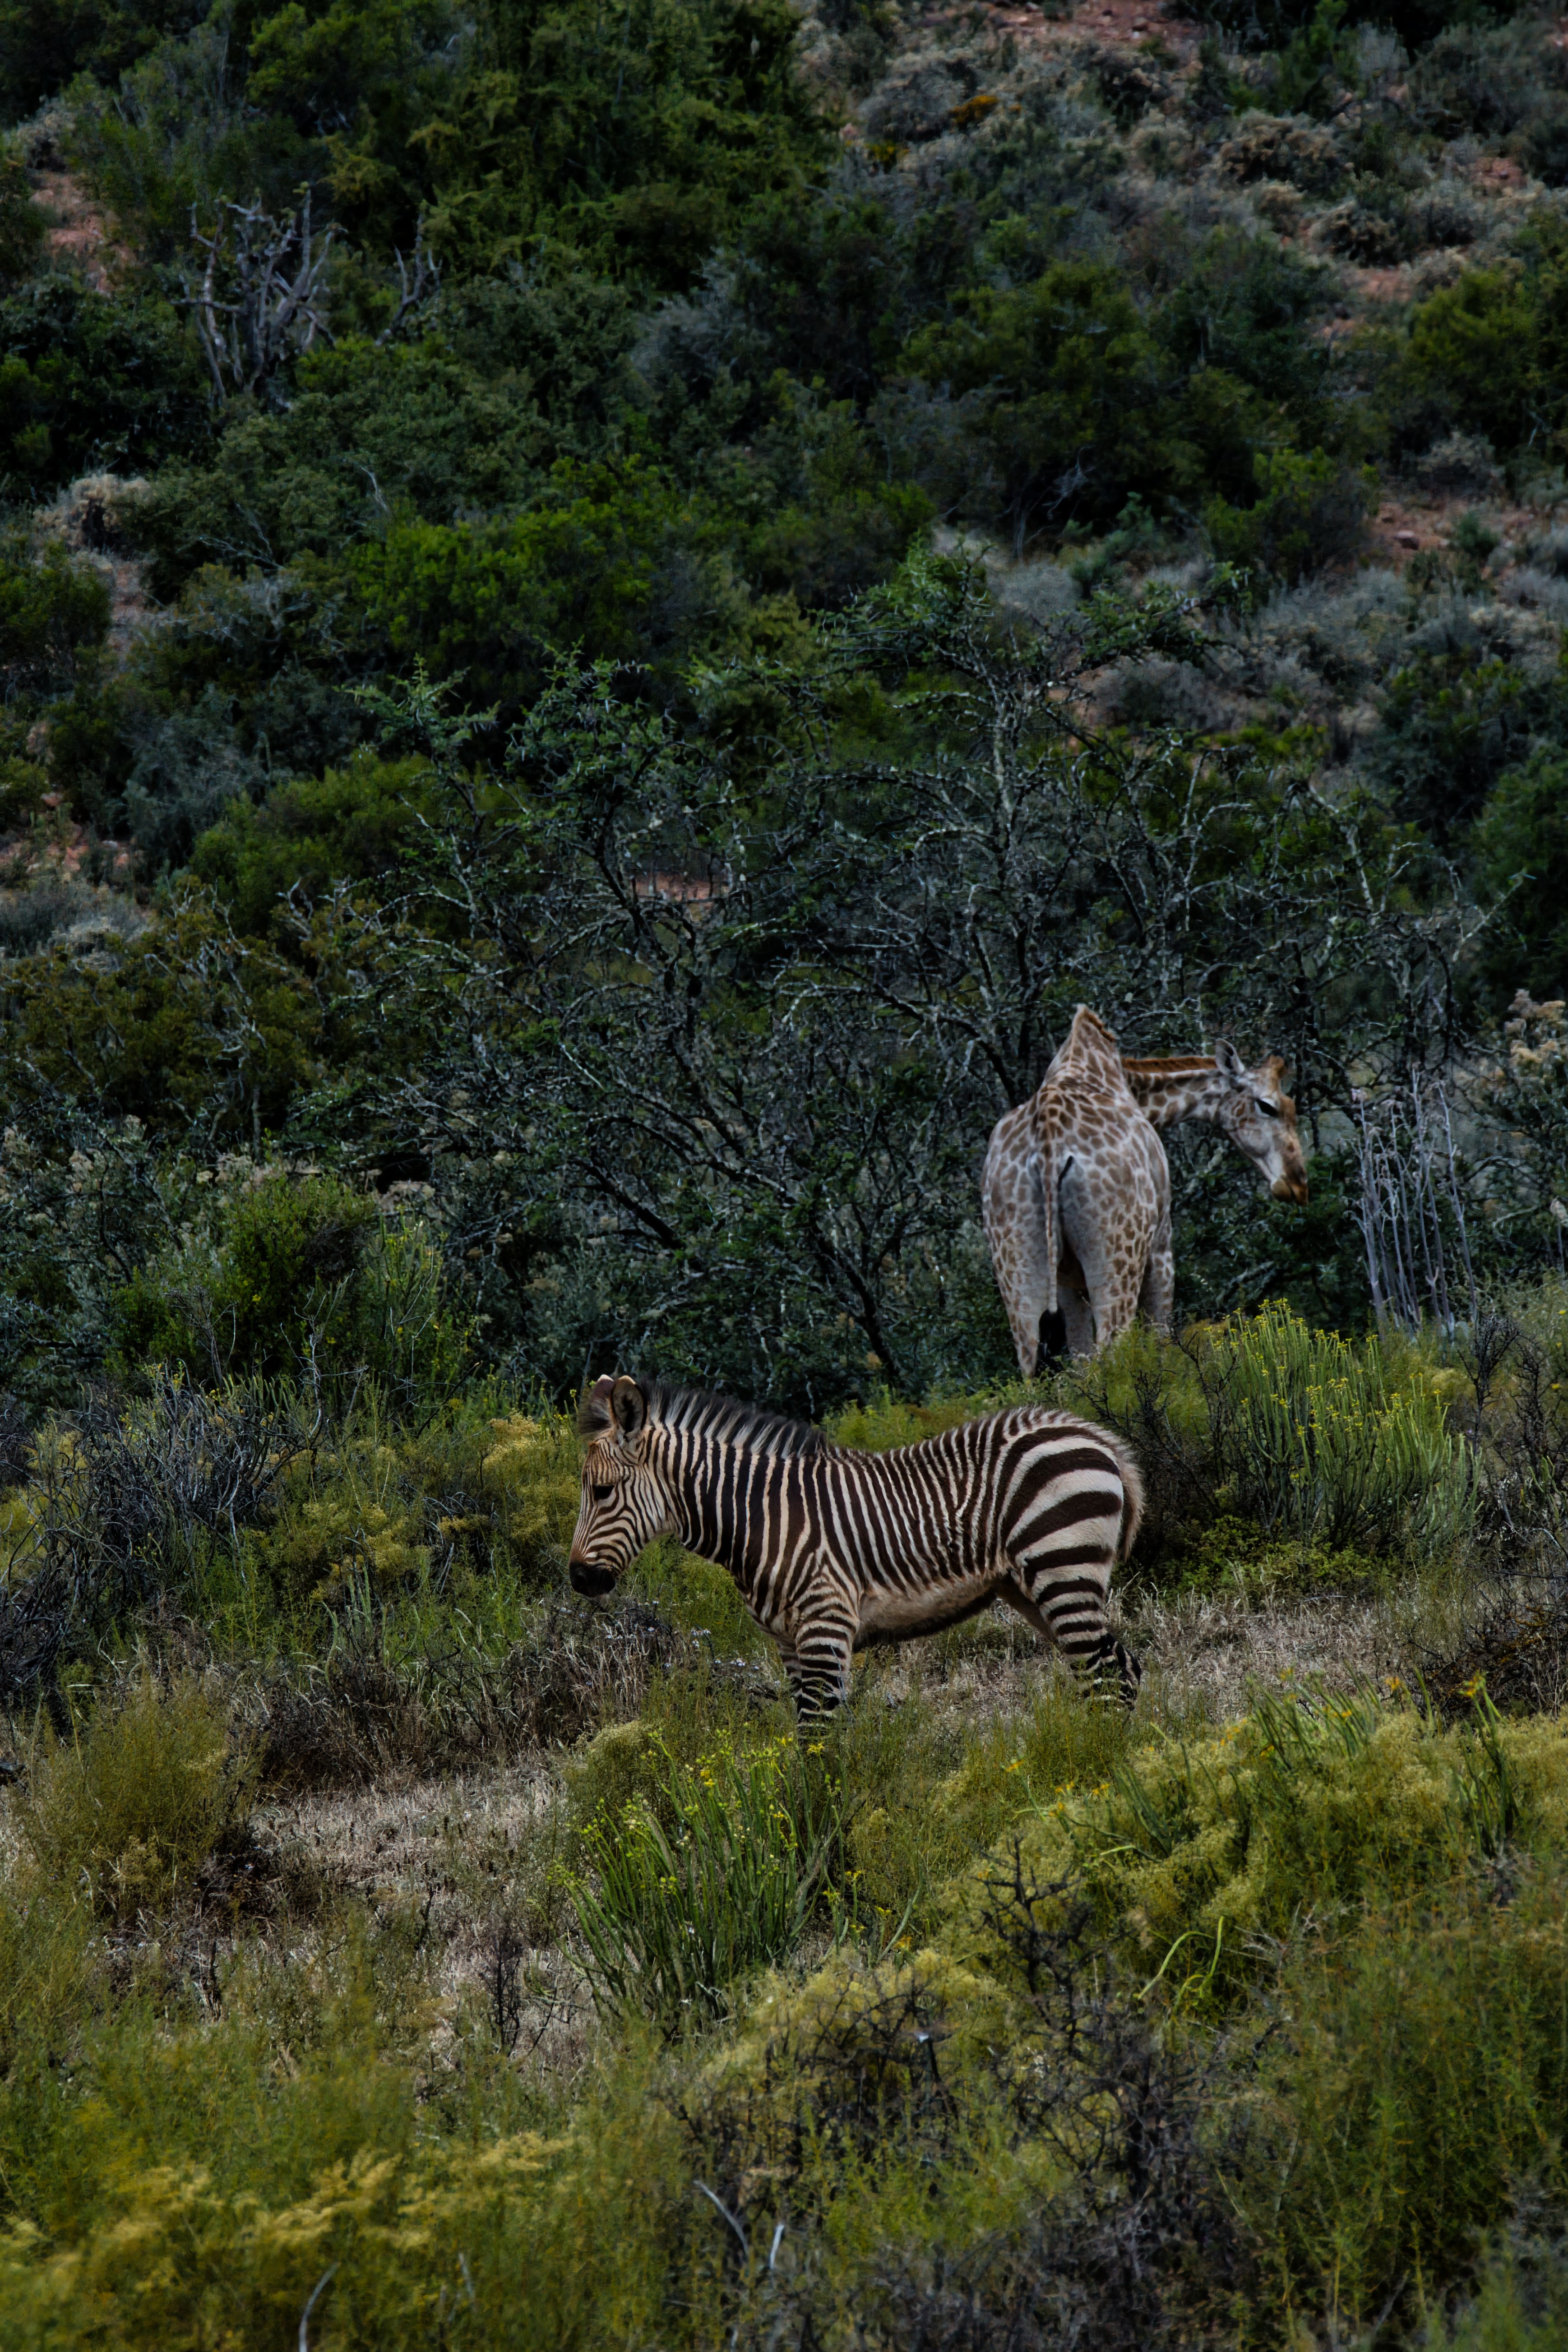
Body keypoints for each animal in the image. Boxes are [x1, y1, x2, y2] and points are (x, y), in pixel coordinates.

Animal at [569, 1374, 1145, 1717]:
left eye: (602, 1491)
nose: (577, 1579)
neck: (762, 1519)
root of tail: (1091, 1432)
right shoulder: (790, 1643)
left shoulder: (825, 1628)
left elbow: (822, 1746)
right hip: (1031, 1587)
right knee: (1118, 1669)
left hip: (1062, 1569)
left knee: (1105, 1672)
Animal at [982, 1009, 1309, 1373]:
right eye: (1267, 1106)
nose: (1297, 1184)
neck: (1132, 1086)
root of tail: (1048, 1141)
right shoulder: (1162, 1248)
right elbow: (1161, 1343)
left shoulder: (1068, 1280)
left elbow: (1082, 1362)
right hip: (1120, 1257)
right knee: (1113, 1347)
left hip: (1015, 1268)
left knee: (1033, 1362)